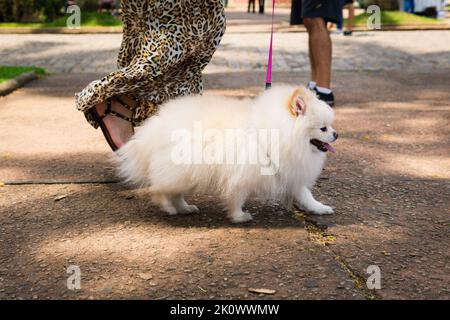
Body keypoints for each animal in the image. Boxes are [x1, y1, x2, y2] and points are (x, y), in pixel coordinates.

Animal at [116, 86, 338, 224]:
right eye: (323, 128)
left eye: (331, 126)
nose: (336, 134)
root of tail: (154, 129)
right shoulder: (242, 174)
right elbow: (237, 197)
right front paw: (239, 217)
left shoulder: (288, 171)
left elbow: (305, 195)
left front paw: (320, 208)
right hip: (179, 170)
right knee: (159, 189)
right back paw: (168, 207)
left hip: (187, 173)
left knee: (175, 192)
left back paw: (184, 208)